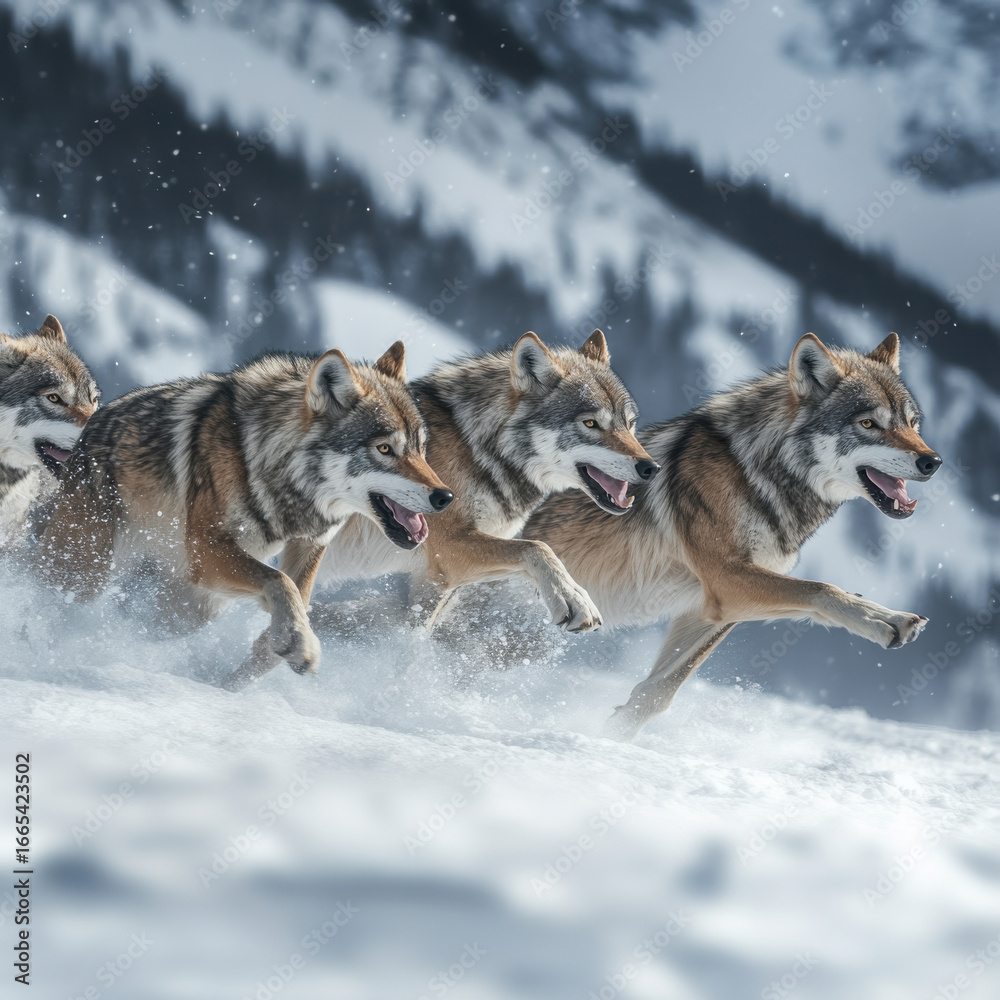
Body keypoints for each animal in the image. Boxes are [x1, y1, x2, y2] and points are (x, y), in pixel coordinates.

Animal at [39, 342, 454, 675]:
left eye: (421, 448)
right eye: (384, 449)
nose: (445, 497)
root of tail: (88, 430)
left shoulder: (310, 544)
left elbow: (296, 599)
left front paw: (277, 651)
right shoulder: (207, 549)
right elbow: (279, 582)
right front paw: (298, 644)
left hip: (193, 606)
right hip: (87, 574)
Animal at [298, 330, 656, 645]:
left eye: (630, 424)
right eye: (591, 424)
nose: (650, 468)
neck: (476, 447)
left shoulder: (436, 577)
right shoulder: (447, 554)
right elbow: (537, 547)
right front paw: (574, 598)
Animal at [524, 332, 942, 739]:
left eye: (912, 423)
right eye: (869, 424)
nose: (933, 461)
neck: (756, 472)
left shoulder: (710, 608)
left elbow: (658, 691)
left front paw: (613, 736)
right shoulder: (727, 582)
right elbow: (821, 589)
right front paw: (883, 620)